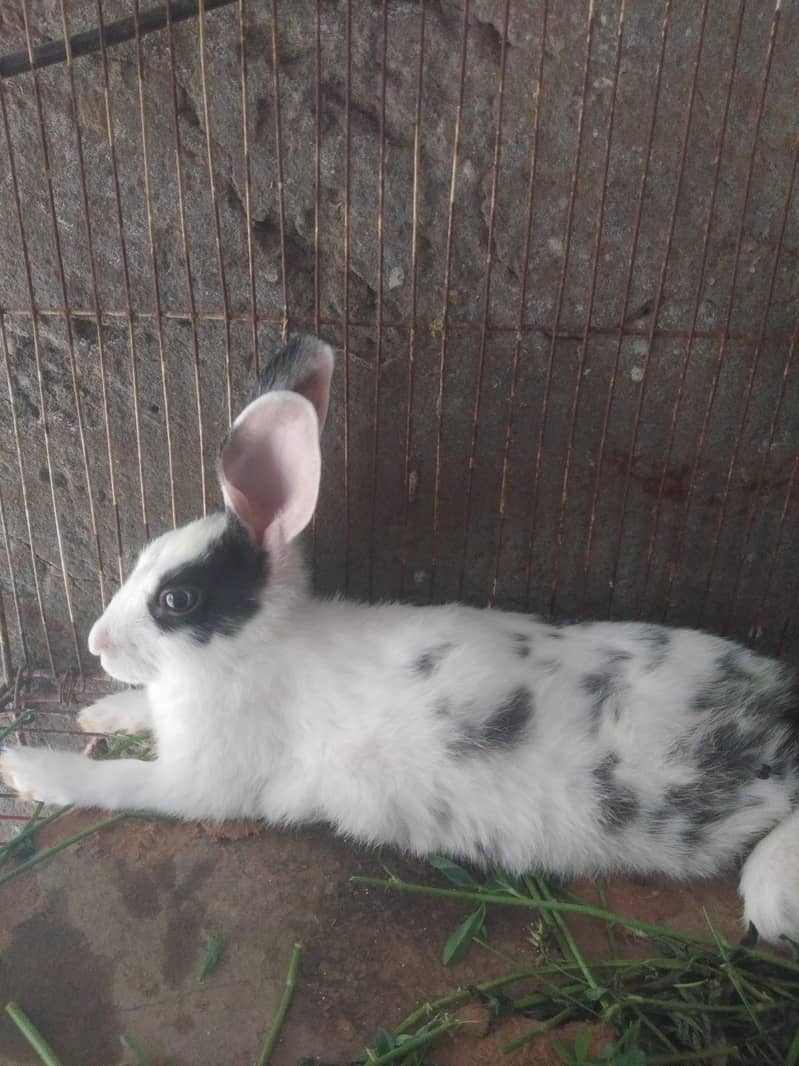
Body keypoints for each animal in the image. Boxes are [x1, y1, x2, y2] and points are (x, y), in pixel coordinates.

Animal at [2, 334, 798, 947]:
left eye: (177, 600)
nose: (96, 643)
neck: (254, 648)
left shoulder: (200, 781)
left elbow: (115, 784)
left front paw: (26, 767)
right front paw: (96, 714)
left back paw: (767, 900)